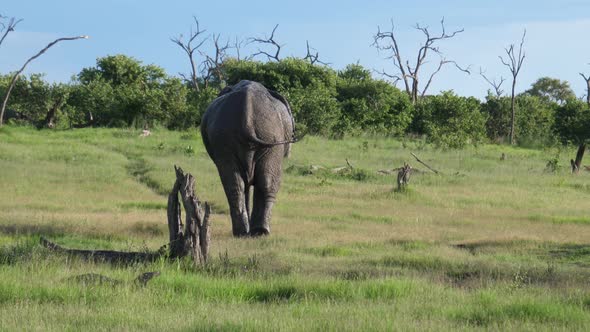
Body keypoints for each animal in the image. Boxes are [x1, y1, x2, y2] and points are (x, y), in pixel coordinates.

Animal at [201, 80, 298, 236]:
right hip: (267, 136)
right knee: (262, 181)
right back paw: (256, 231)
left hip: (252, 136)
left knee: (239, 183)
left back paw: (247, 232)